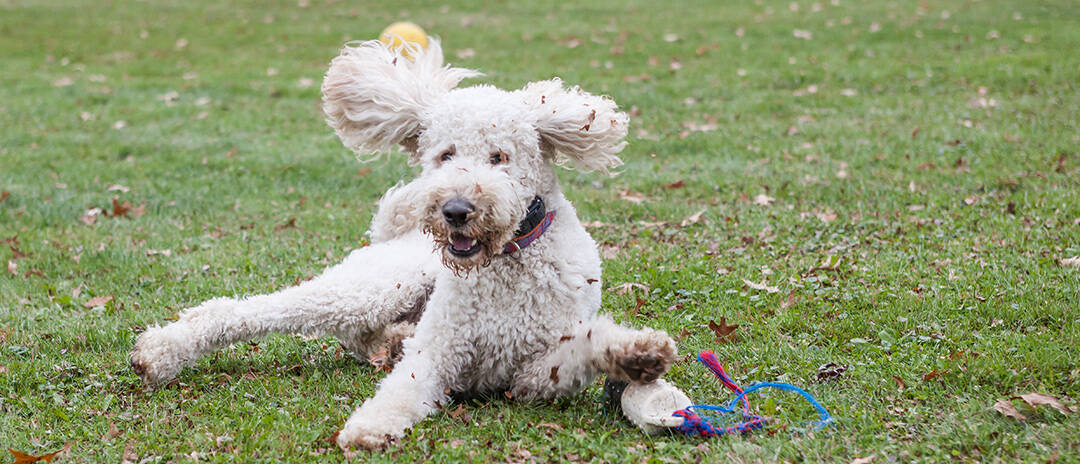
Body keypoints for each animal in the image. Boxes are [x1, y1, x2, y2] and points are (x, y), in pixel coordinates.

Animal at [128, 38, 673, 451]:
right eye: (445, 154)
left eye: (499, 157)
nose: (456, 209)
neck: (505, 266)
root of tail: (398, 234)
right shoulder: (437, 356)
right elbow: (400, 392)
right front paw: (369, 427)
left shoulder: (532, 380)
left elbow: (581, 351)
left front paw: (635, 353)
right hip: (370, 288)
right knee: (247, 310)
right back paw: (162, 350)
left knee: (360, 336)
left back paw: (389, 341)